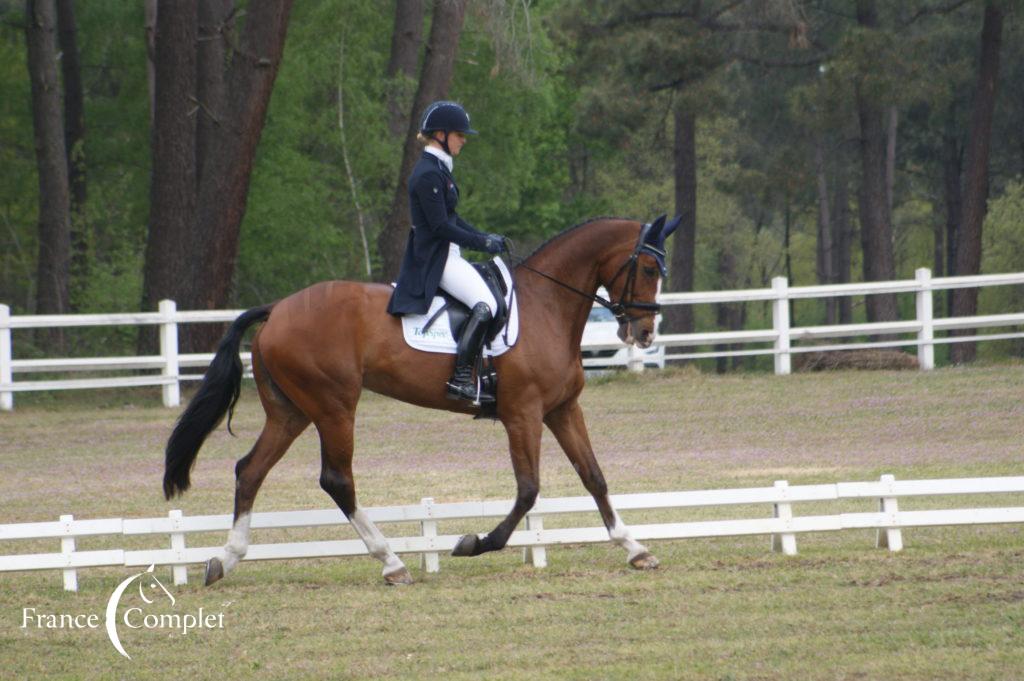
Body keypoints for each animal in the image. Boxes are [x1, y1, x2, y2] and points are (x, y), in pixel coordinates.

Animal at [161, 214, 679, 585]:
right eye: (647, 267)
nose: (645, 333)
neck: (546, 306)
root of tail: (276, 309)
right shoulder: (523, 414)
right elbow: (529, 489)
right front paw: (474, 543)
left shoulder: (561, 410)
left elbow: (594, 477)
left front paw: (636, 549)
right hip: (333, 407)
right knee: (336, 480)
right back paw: (391, 562)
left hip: (291, 412)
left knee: (250, 470)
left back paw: (225, 560)